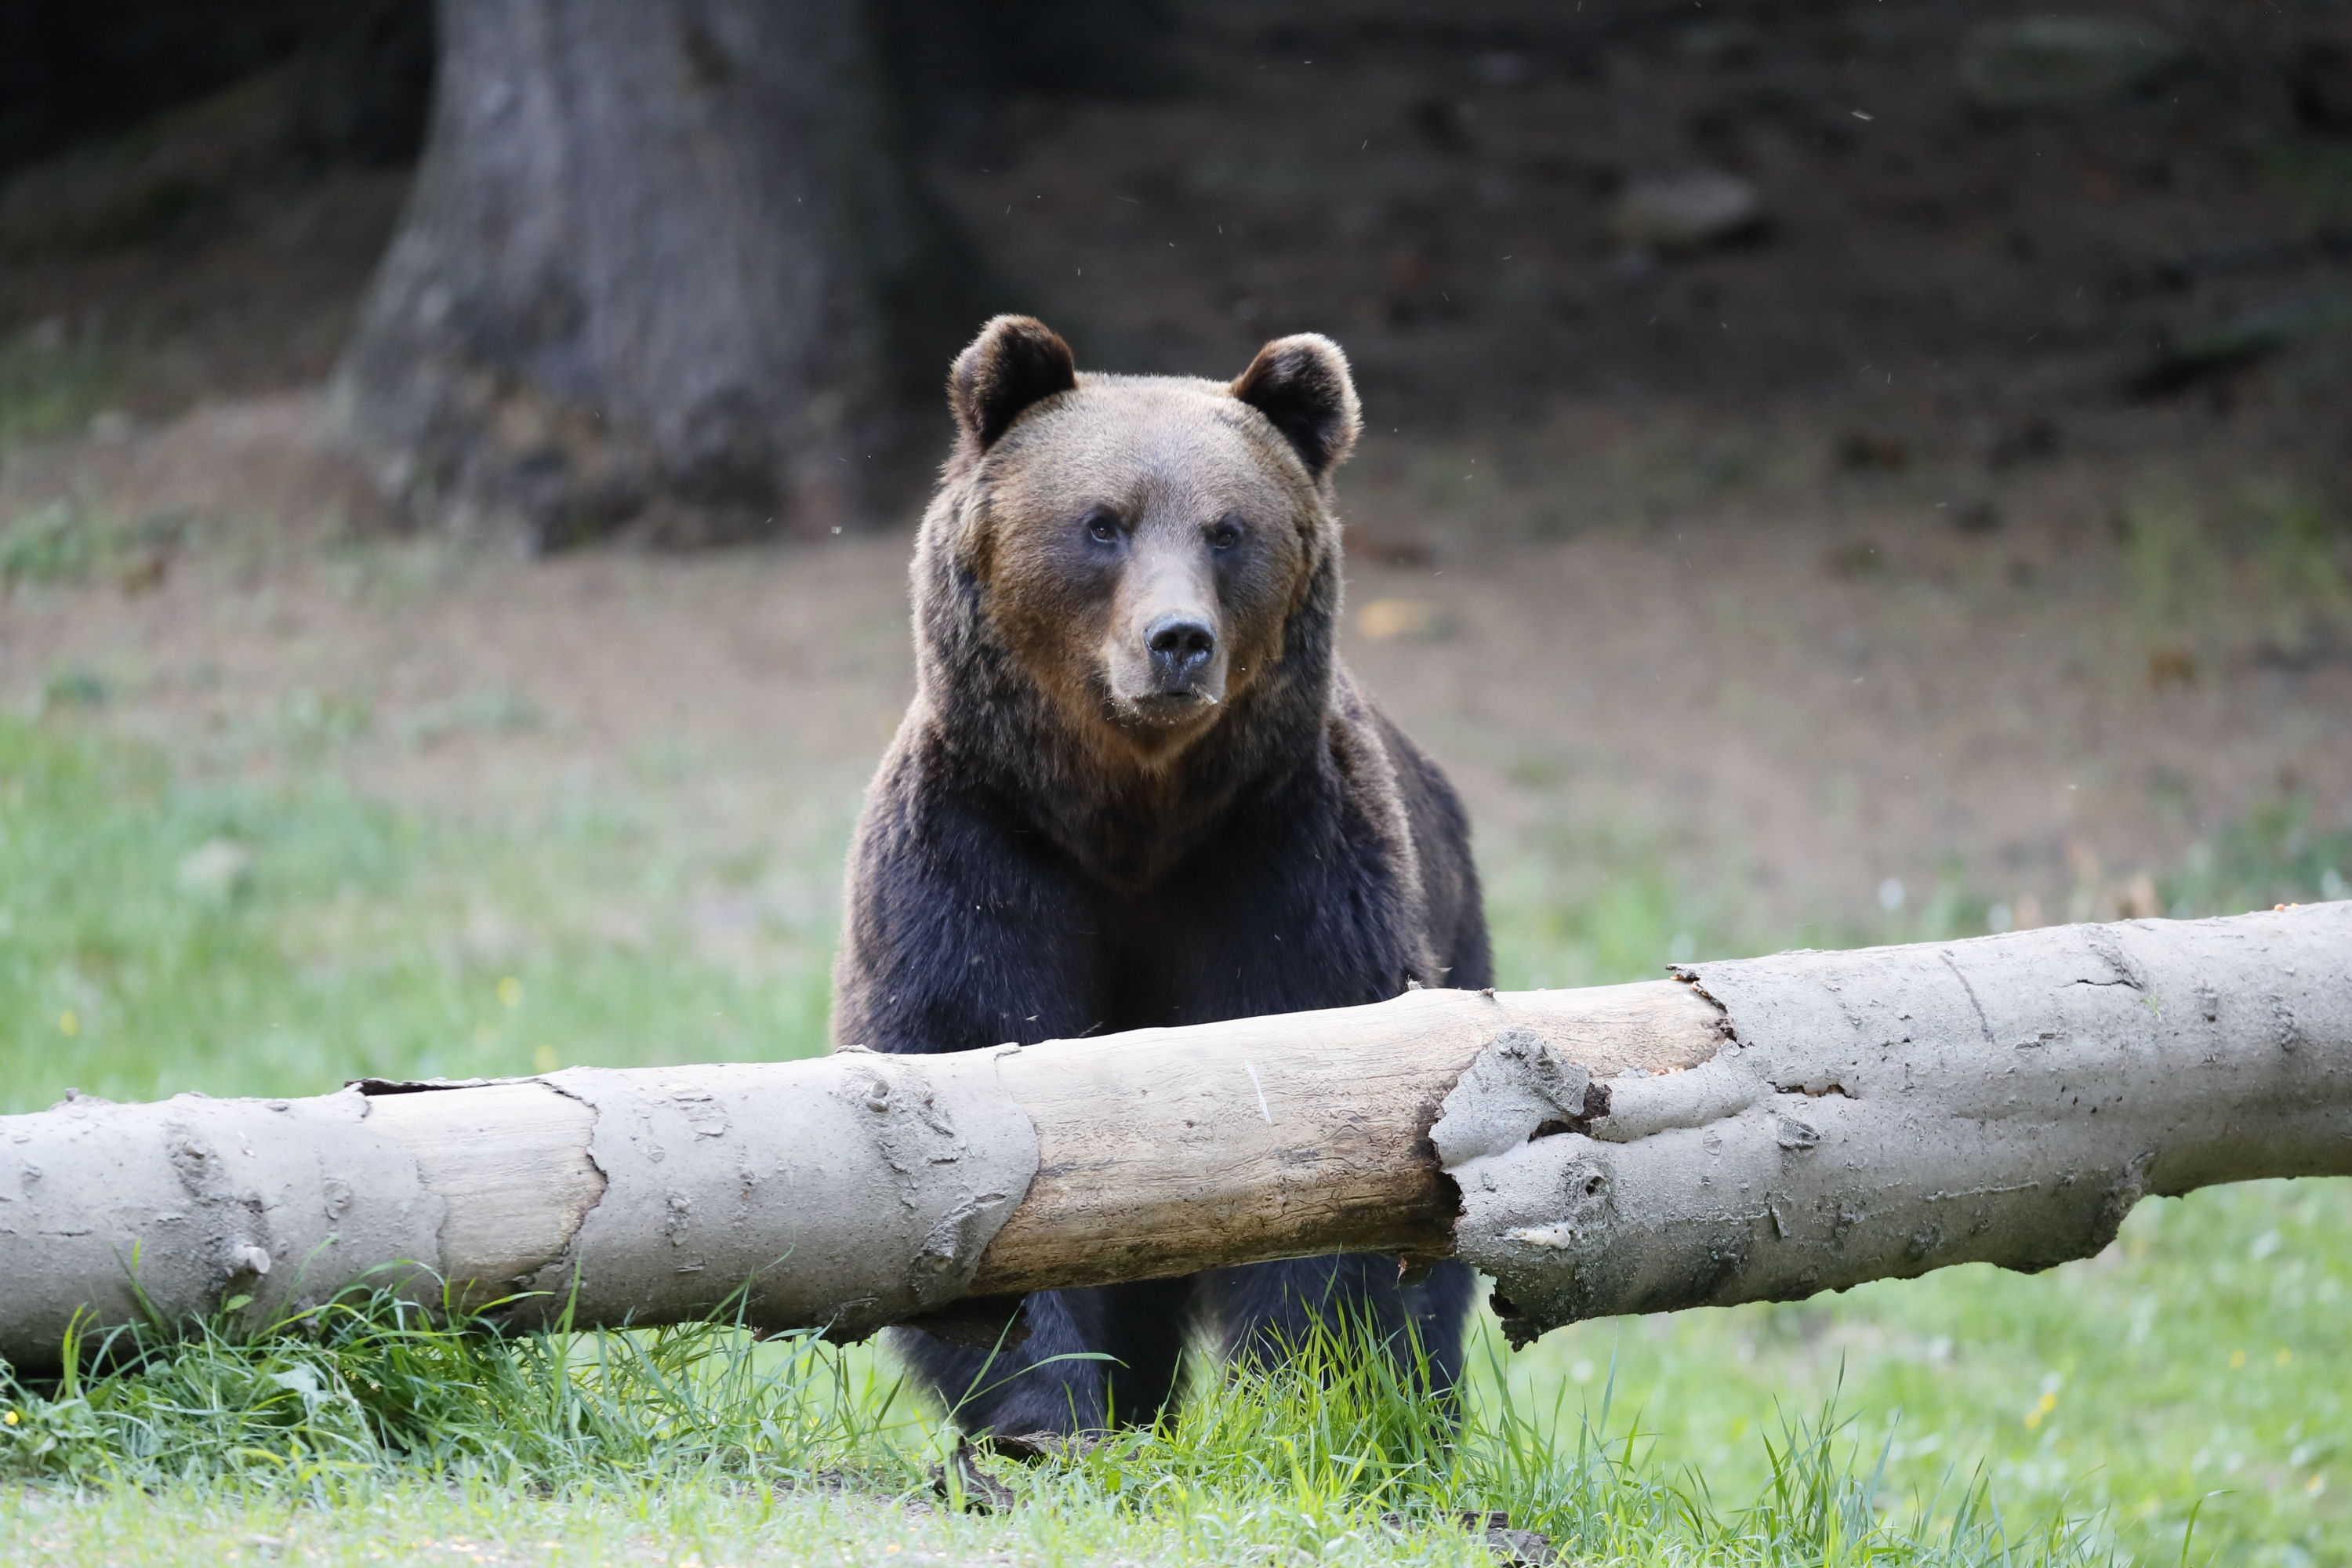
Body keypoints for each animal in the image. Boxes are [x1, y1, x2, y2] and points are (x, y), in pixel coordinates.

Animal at [828, 314, 1486, 1439]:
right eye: (1104, 524)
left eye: (1227, 530)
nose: (1177, 641)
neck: (1135, 820)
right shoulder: (982, 852)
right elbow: (975, 1064)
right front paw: (1047, 1410)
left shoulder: (1282, 863)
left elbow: (1325, 1139)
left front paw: (1298, 1398)